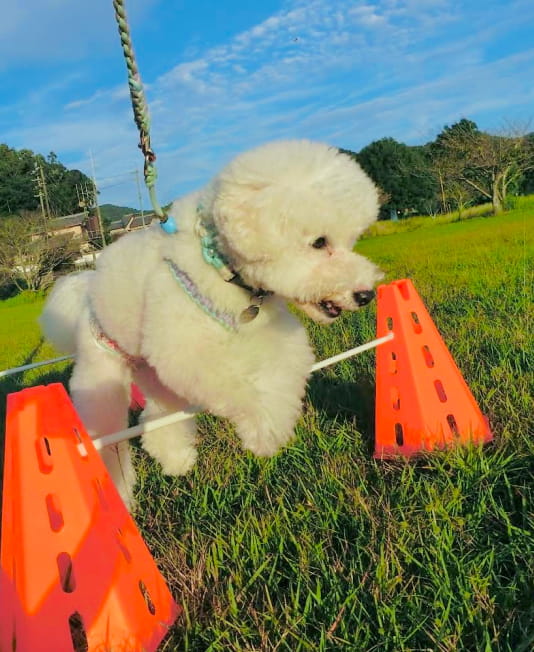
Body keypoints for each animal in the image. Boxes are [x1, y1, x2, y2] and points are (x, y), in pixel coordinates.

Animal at [42, 141, 386, 510]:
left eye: (352, 241)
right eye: (320, 242)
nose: (366, 295)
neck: (219, 263)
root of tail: (85, 294)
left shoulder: (270, 333)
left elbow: (282, 371)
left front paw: (274, 423)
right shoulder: (187, 348)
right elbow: (237, 386)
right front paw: (264, 432)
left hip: (154, 374)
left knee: (157, 419)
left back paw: (177, 460)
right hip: (101, 379)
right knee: (109, 443)